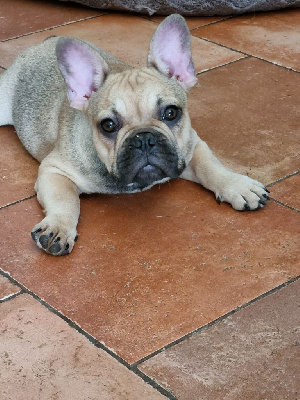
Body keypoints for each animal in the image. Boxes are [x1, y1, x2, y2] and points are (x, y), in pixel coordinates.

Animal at [0, 15, 270, 256]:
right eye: (108, 125)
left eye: (171, 113)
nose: (144, 139)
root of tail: (43, 43)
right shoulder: (54, 169)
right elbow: (65, 199)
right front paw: (58, 227)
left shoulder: (191, 145)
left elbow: (211, 166)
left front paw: (237, 185)